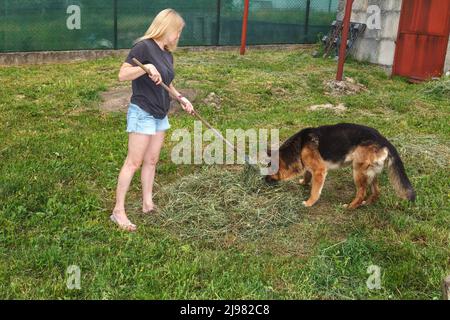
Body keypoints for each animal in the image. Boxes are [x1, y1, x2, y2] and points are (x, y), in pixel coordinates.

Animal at [266, 123, 416, 210]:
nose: (263, 181)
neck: (300, 146)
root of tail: (384, 141)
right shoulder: (310, 167)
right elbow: (307, 174)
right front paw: (303, 182)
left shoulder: (320, 170)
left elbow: (315, 191)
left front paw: (309, 202)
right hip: (370, 172)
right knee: (376, 191)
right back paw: (366, 204)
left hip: (358, 171)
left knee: (361, 192)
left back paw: (350, 207)